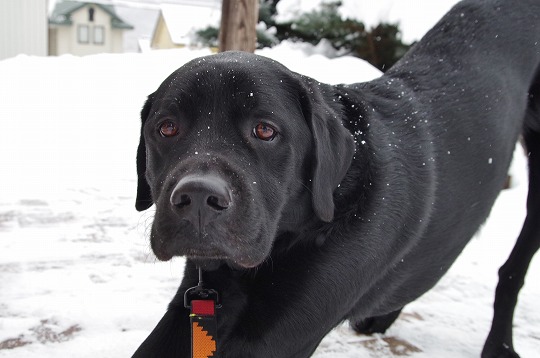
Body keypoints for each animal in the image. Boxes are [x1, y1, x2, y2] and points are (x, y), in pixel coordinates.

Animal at [134, 1, 540, 356]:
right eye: (167, 127)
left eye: (265, 130)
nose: (198, 199)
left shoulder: (284, 327)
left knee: (511, 272)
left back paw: (500, 346)